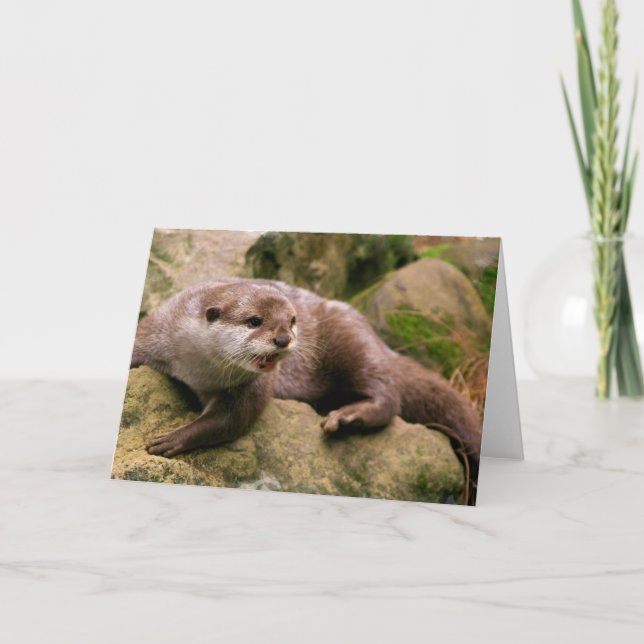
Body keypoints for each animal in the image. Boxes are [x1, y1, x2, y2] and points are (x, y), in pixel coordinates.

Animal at [131, 278, 482, 484]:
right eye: (254, 321)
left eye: (292, 320)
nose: (283, 338)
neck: (198, 370)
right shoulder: (152, 335)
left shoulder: (251, 388)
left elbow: (229, 420)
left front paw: (172, 439)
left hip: (353, 341)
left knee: (388, 396)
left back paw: (347, 415)